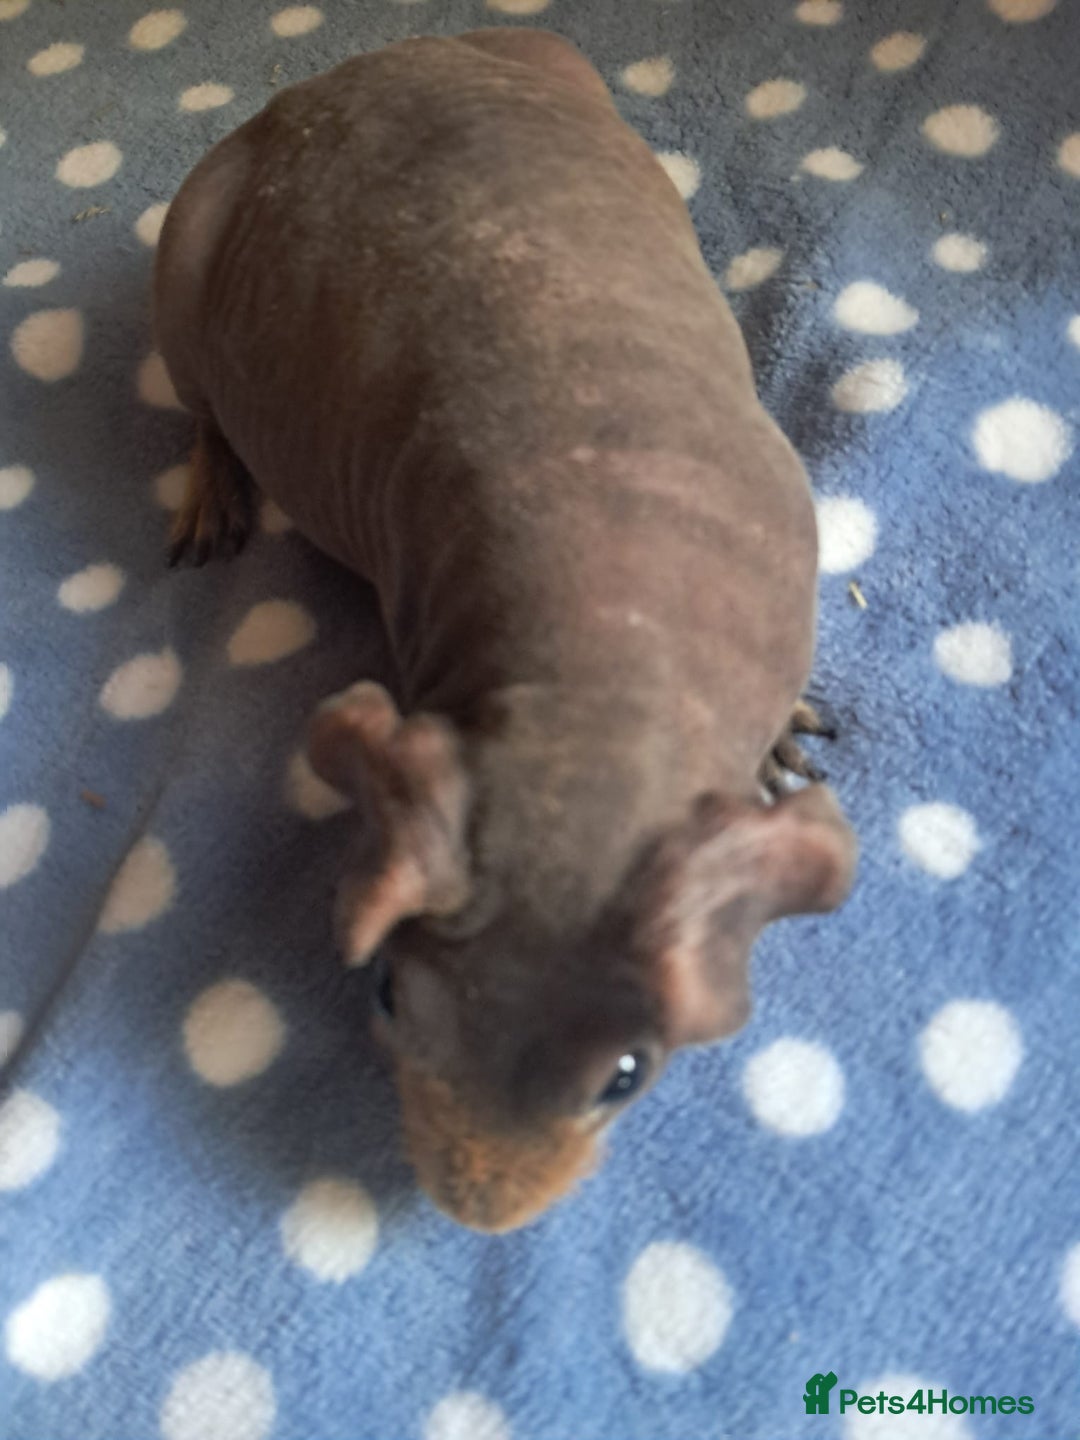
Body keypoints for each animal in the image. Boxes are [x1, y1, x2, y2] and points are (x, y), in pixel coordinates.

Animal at [155, 27, 857, 1232]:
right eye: (388, 994)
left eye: (626, 1076)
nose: (472, 1211)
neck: (608, 656)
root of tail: (346, 73)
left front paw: (780, 745)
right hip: (183, 255)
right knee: (202, 410)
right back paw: (212, 493)